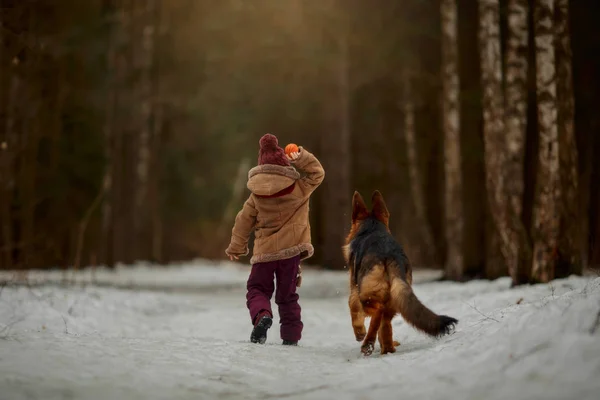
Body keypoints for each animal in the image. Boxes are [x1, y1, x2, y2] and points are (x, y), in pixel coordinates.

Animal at [342, 191, 460, 356]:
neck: (372, 228)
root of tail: (389, 255)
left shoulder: (354, 290)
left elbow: (353, 309)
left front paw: (359, 332)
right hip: (396, 297)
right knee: (385, 326)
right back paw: (387, 349)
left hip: (367, 296)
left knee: (378, 313)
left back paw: (368, 344)